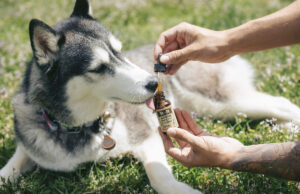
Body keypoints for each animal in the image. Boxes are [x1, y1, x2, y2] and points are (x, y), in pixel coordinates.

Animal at [0, 0, 300, 193]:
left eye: (119, 51)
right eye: (98, 68)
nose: (154, 82)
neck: (80, 127)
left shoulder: (146, 134)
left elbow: (158, 176)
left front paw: (181, 191)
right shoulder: (32, 142)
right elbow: (11, 165)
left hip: (220, 101)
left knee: (281, 103)